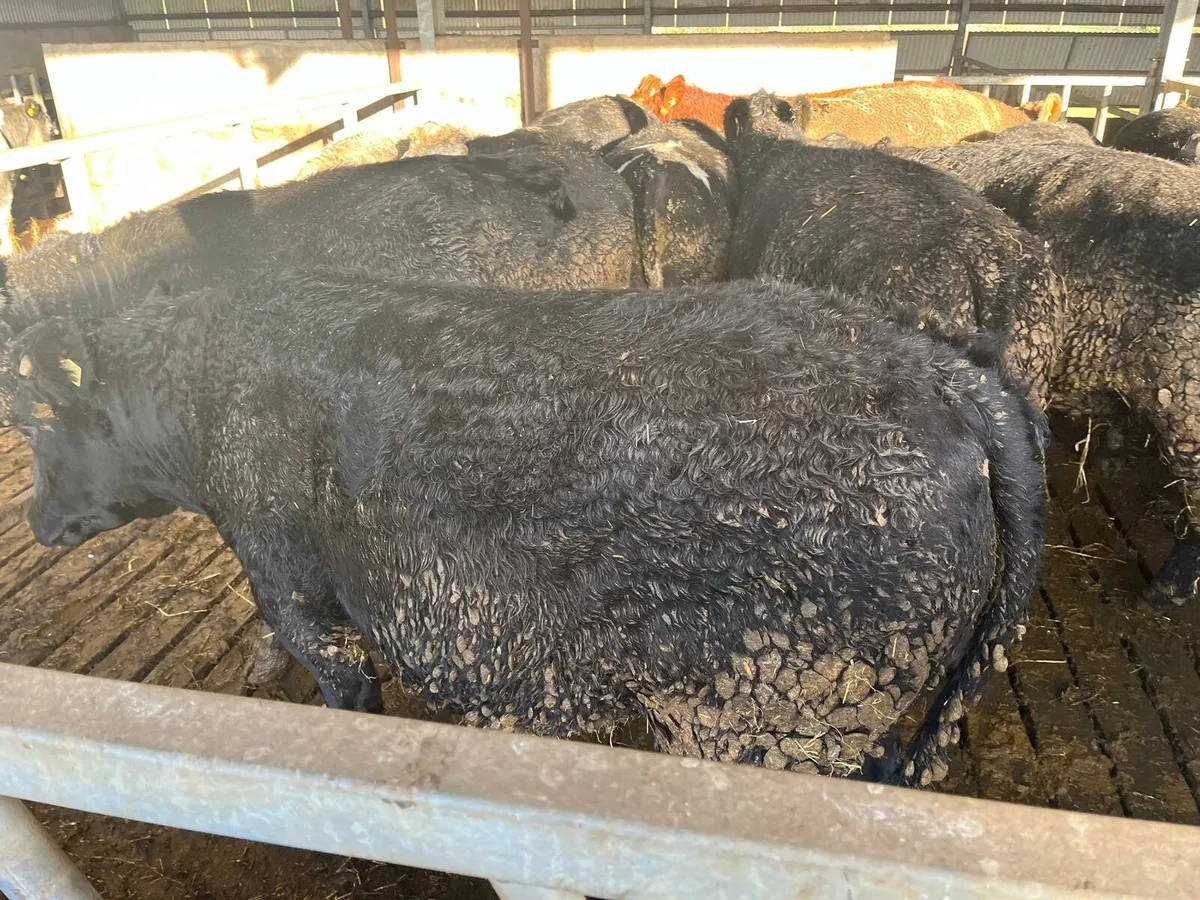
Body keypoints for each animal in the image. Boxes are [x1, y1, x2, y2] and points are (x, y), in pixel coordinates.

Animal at [11, 269, 1046, 788]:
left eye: (37, 425)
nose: (33, 517)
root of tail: (943, 368)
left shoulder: (294, 586)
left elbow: (345, 696)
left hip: (784, 714)